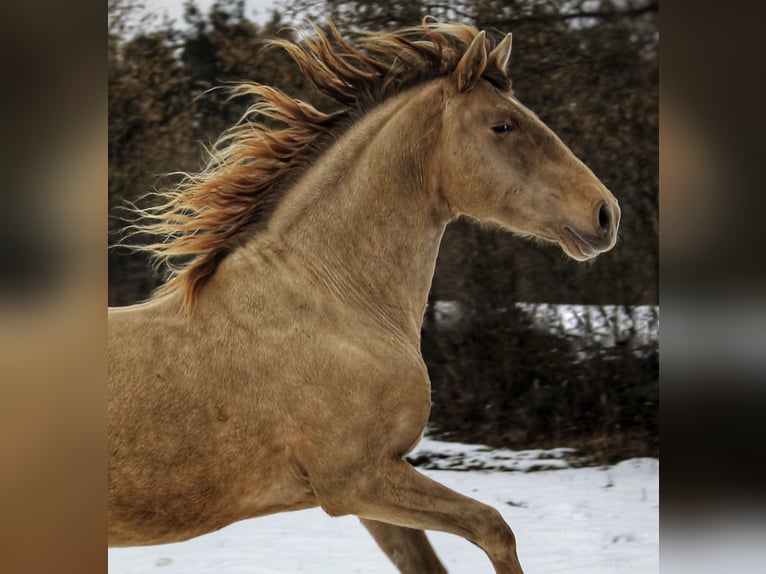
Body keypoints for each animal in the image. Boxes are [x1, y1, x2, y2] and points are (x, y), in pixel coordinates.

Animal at [108, 21, 620, 574]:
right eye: (502, 125)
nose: (605, 213)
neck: (334, 304)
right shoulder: (356, 481)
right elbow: (494, 528)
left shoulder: (373, 490)